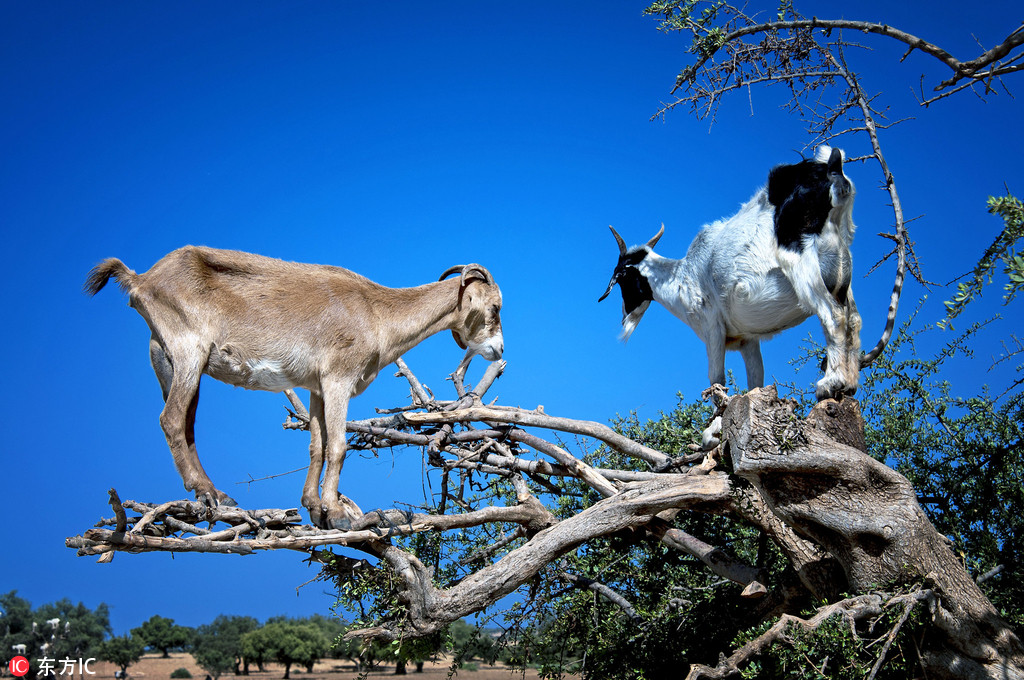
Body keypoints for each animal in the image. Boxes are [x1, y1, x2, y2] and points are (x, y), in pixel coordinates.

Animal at [84, 245, 503, 532]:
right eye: (496, 307)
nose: (499, 350)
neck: (376, 312)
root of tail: (141, 280)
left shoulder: (316, 386)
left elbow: (317, 445)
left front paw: (315, 508)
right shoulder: (338, 378)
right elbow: (338, 446)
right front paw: (339, 514)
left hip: (165, 359)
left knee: (186, 426)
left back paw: (217, 494)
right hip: (189, 350)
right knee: (171, 419)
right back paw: (206, 493)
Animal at [602, 143, 860, 399]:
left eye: (622, 278)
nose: (624, 316)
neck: (682, 276)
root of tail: (832, 173)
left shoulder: (712, 326)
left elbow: (716, 380)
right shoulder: (748, 339)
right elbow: (755, 381)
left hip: (802, 264)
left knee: (832, 315)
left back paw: (830, 383)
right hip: (842, 275)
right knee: (853, 320)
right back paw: (849, 384)